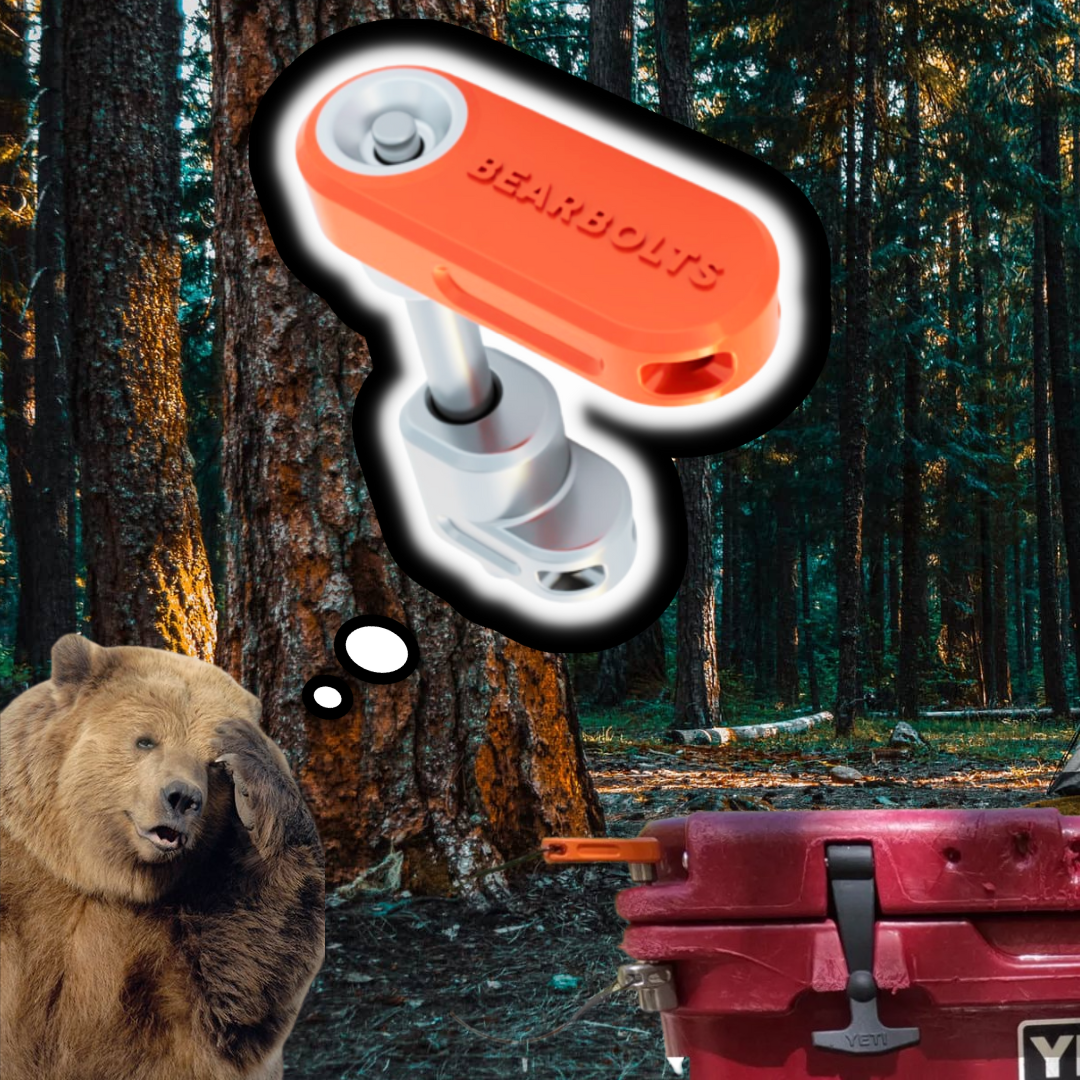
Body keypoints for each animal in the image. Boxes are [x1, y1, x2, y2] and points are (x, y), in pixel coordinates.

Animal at [0, 634, 325, 1080]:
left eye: (213, 763)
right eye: (146, 740)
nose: (182, 797)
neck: (98, 874)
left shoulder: (181, 936)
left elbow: (241, 995)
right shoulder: (23, 874)